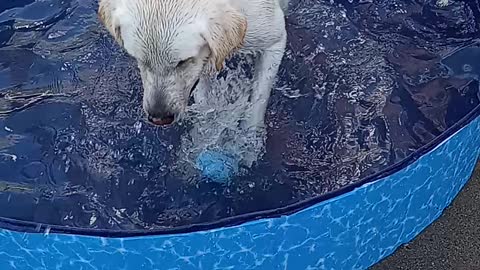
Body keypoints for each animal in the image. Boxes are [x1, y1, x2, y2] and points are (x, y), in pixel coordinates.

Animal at [97, 0, 284, 131]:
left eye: (182, 62)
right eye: (140, 59)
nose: (159, 117)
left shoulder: (274, 41)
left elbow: (258, 100)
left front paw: (249, 142)